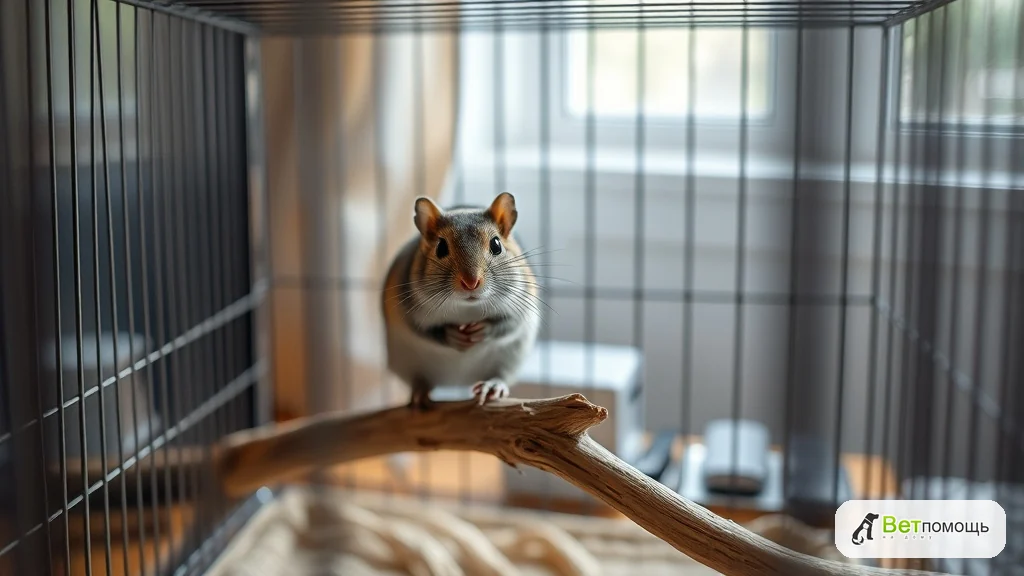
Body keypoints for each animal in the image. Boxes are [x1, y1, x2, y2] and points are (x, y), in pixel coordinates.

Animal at [381, 192, 541, 409]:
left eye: (496, 244)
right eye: (440, 247)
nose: (471, 282)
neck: (468, 307)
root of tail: (456, 382)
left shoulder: (521, 306)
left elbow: (508, 324)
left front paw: (482, 329)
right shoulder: (407, 311)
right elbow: (426, 331)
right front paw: (453, 336)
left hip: (511, 358)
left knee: (500, 375)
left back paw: (491, 386)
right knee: (420, 379)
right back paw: (420, 393)